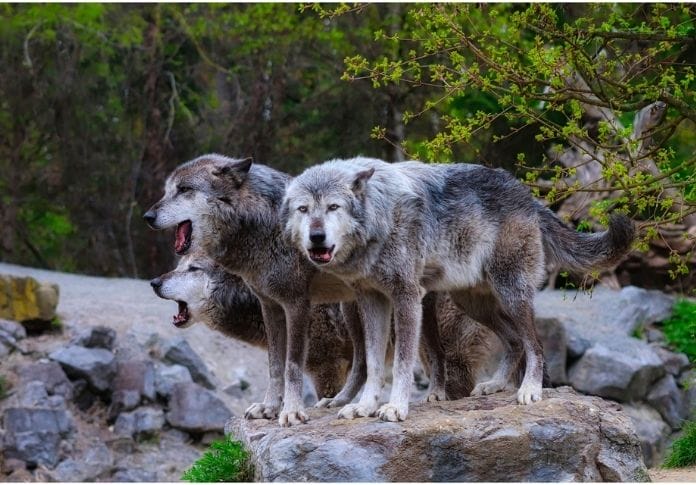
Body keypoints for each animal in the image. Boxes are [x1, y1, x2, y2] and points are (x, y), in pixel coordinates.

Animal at [283, 156, 635, 421]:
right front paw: (365, 406)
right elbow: (372, 363)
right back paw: (495, 385)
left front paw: (396, 407)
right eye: (303, 209)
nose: (316, 237)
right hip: (473, 304)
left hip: (511, 294)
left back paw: (529, 390)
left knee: (535, 345)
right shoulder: (372, 301)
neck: (380, 216)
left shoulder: (406, 298)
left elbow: (400, 364)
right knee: (515, 342)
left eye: (333, 207)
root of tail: (527, 194)